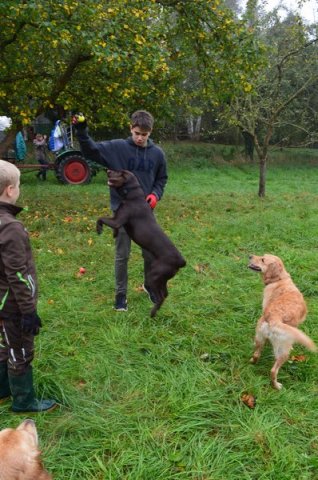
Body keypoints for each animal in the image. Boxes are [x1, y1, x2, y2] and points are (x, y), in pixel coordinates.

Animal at [97, 171, 186, 316]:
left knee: (161, 296)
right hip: (162, 278)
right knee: (166, 294)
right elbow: (114, 226)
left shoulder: (118, 220)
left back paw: (152, 313)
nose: (108, 171)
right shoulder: (118, 220)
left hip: (154, 275)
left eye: (120, 172)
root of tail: (181, 261)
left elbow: (101, 218)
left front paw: (99, 229)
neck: (134, 196)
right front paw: (114, 234)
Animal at [248, 255, 316, 390]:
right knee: (273, 371)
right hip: (283, 352)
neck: (279, 279)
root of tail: (273, 318)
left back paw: (252, 362)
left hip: (259, 337)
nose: (250, 256)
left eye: (263, 259)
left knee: (256, 354)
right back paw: (277, 386)